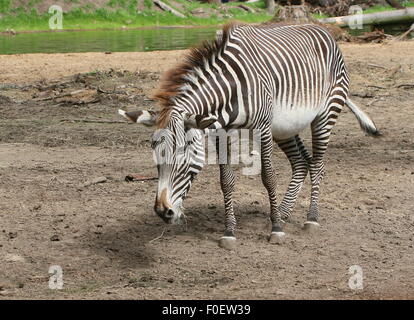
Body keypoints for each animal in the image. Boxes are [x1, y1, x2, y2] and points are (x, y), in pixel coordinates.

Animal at [118, 22, 380, 250]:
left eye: (184, 154)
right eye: (155, 156)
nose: (163, 212)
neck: (230, 91)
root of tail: (322, 29)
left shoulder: (263, 128)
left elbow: (269, 177)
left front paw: (276, 230)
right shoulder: (221, 132)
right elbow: (226, 182)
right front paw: (230, 232)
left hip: (325, 114)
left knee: (317, 165)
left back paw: (310, 219)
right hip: (285, 126)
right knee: (301, 163)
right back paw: (282, 213)